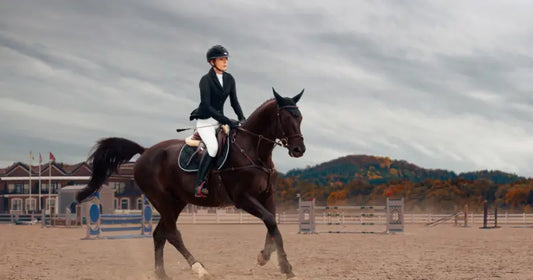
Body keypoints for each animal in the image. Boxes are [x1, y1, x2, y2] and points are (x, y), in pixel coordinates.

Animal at [77, 88, 306, 278]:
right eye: (286, 118)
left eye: (300, 118)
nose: (299, 149)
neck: (253, 150)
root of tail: (145, 151)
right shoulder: (243, 198)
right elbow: (270, 221)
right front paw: (284, 266)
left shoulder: (267, 195)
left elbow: (272, 224)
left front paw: (267, 258)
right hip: (162, 201)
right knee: (172, 234)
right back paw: (199, 268)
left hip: (176, 202)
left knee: (159, 234)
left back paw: (162, 274)